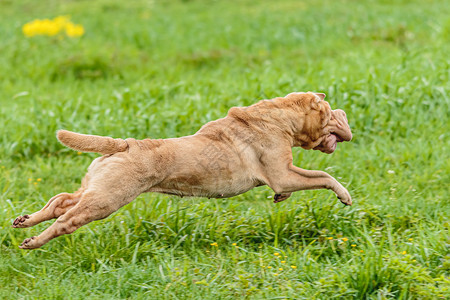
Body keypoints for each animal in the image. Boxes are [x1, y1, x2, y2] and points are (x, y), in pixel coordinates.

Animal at [13, 92, 352, 250]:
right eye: (329, 112)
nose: (346, 119)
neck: (281, 118)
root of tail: (125, 145)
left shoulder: (285, 177)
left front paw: (282, 200)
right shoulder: (284, 174)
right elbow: (324, 177)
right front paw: (345, 196)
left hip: (95, 189)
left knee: (60, 202)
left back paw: (25, 221)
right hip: (106, 200)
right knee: (66, 221)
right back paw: (34, 241)